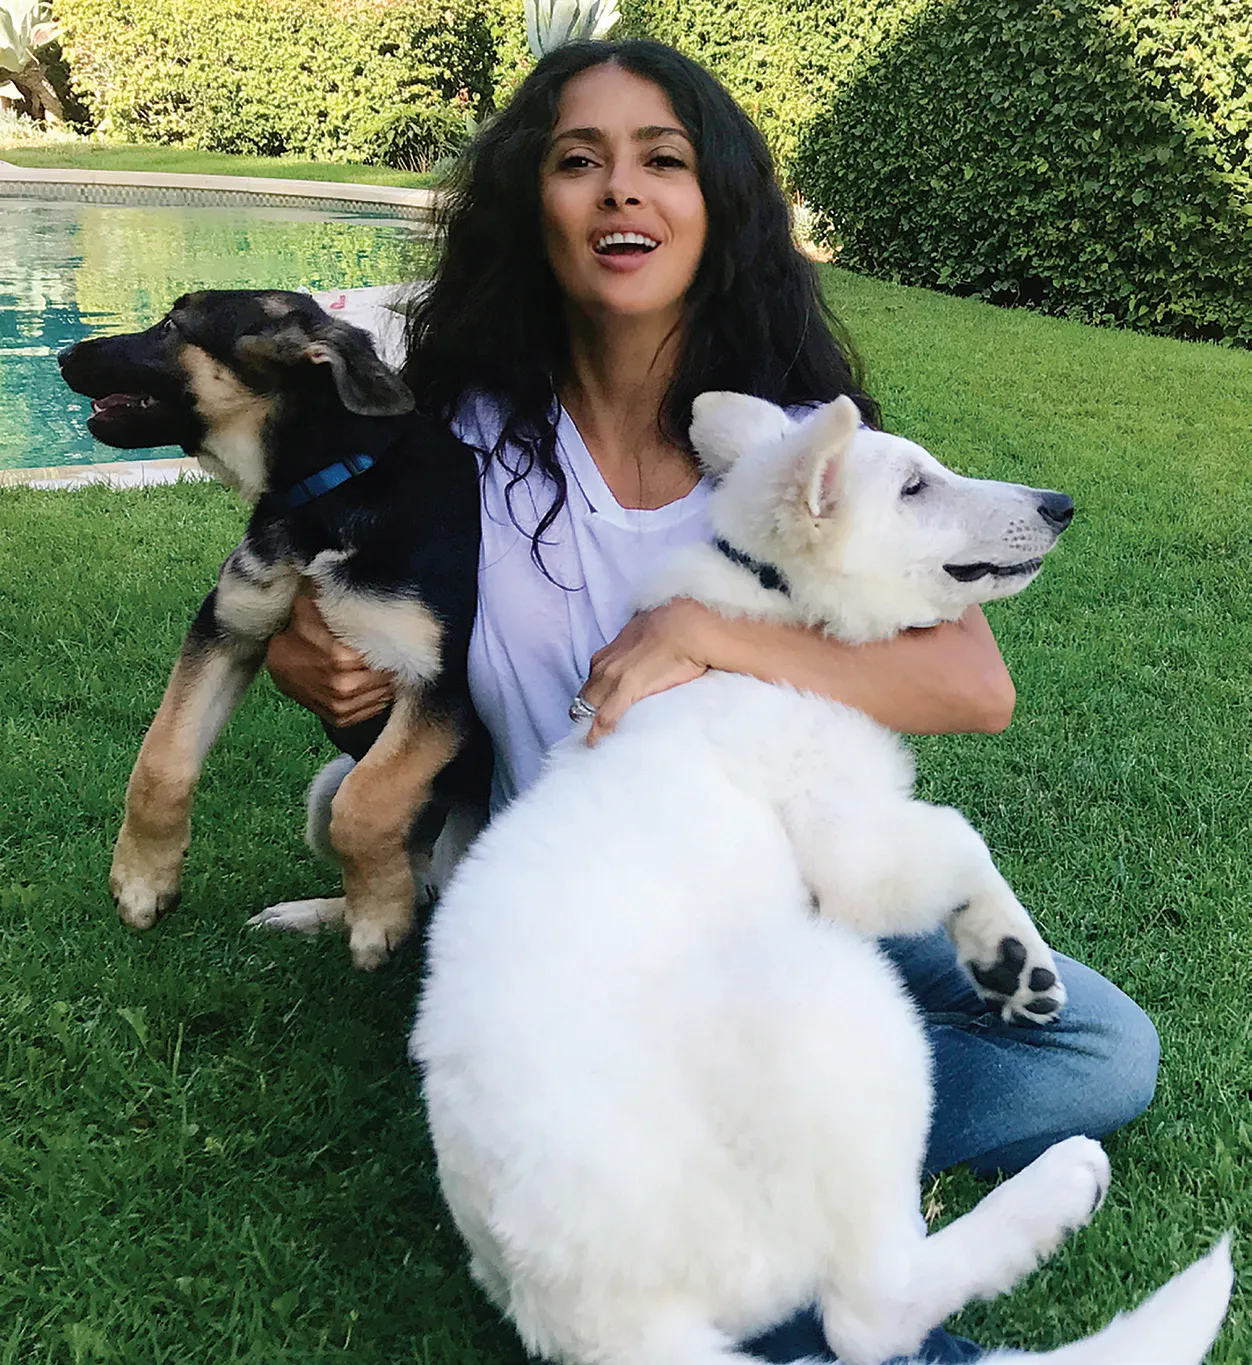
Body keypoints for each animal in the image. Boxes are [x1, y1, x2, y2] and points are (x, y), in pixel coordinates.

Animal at [58, 289, 483, 969]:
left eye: (172, 326)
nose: (65, 354)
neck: (322, 495)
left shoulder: (441, 680)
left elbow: (369, 799)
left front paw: (377, 919)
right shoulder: (226, 628)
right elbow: (160, 758)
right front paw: (142, 881)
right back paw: (313, 915)